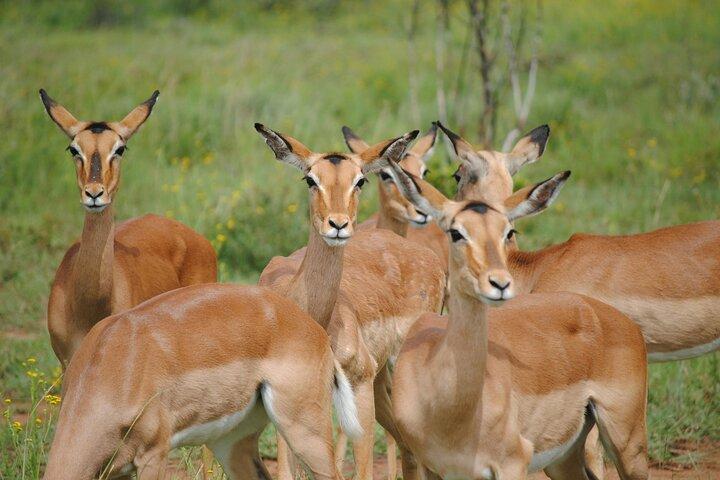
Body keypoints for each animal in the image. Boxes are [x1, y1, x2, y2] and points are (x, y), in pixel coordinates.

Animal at [255, 125, 446, 480]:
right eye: (310, 179)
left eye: (360, 180)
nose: (338, 224)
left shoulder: (358, 383)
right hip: (382, 380)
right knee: (410, 448)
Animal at [386, 159, 649, 480]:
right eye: (456, 232)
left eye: (508, 231)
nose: (499, 283)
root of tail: (620, 320)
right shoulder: (424, 465)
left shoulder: (512, 463)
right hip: (563, 459)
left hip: (628, 443)